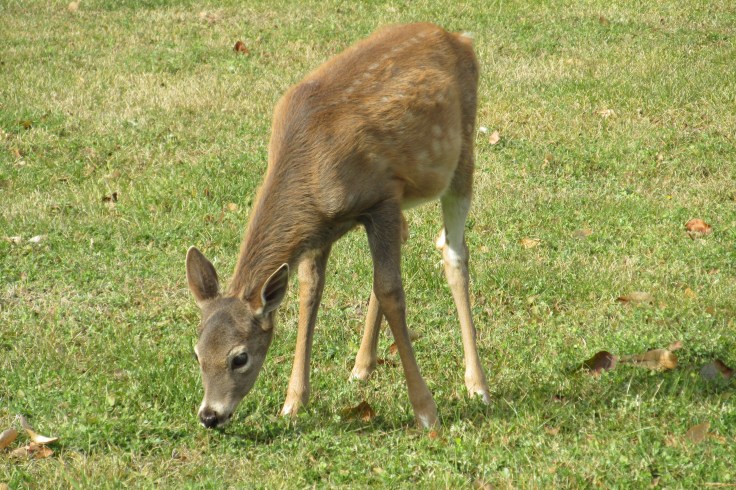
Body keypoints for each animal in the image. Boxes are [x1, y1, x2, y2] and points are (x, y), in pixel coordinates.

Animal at [185, 22, 491, 430]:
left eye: (240, 357)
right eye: (198, 353)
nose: (210, 415)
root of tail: (459, 37)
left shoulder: (383, 197)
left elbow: (391, 290)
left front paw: (426, 411)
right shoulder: (319, 229)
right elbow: (310, 291)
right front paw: (293, 402)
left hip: (462, 152)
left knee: (453, 252)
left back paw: (478, 385)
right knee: (409, 238)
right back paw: (362, 367)